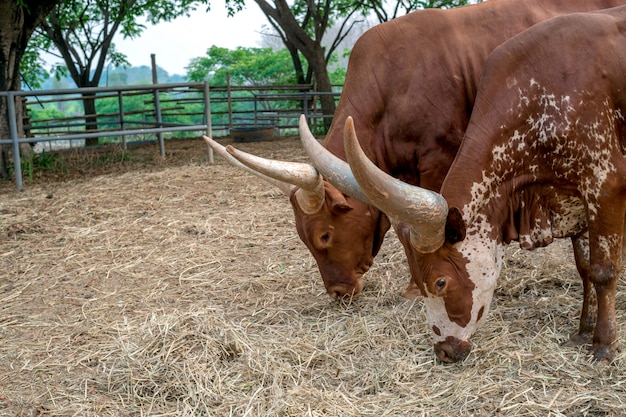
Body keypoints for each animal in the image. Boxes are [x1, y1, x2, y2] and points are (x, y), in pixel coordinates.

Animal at [202, 0, 620, 300]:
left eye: (323, 235)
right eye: (304, 238)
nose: (337, 292)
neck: (395, 80)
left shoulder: (440, 160)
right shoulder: (397, 176)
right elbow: (405, 228)